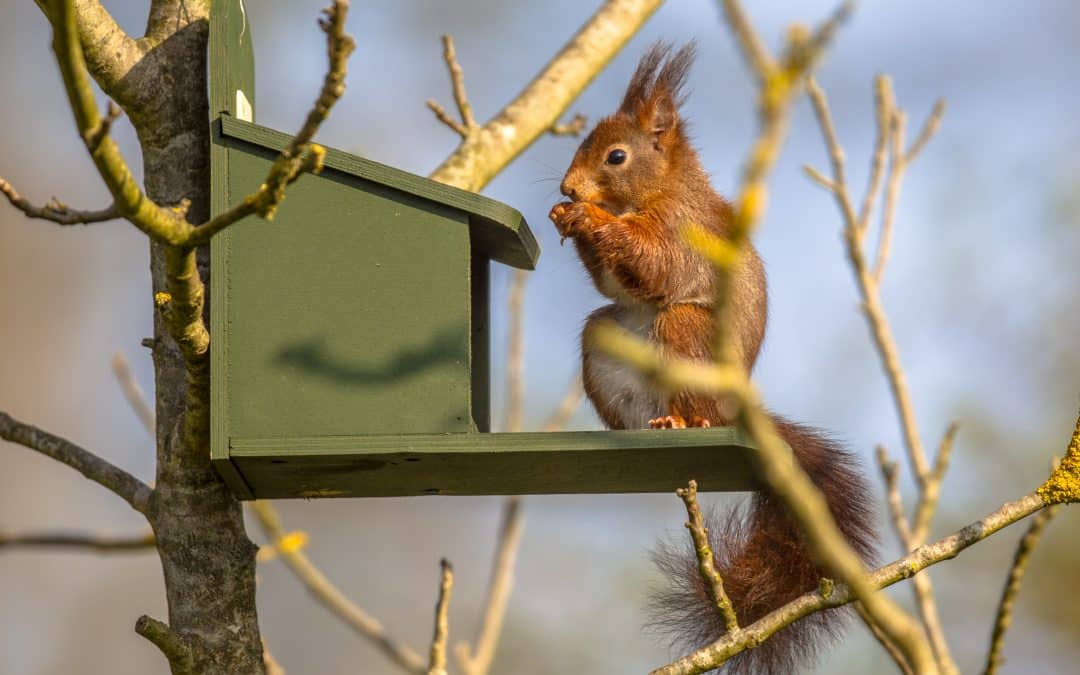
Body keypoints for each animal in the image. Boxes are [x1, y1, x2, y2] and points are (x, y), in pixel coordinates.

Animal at [549, 42, 877, 674]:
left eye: (617, 156)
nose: (569, 188)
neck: (659, 190)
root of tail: (733, 411)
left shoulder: (683, 231)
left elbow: (654, 262)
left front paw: (592, 220)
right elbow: (614, 282)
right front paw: (565, 219)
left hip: (688, 333)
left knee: (686, 379)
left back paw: (682, 422)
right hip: (604, 341)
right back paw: (638, 428)